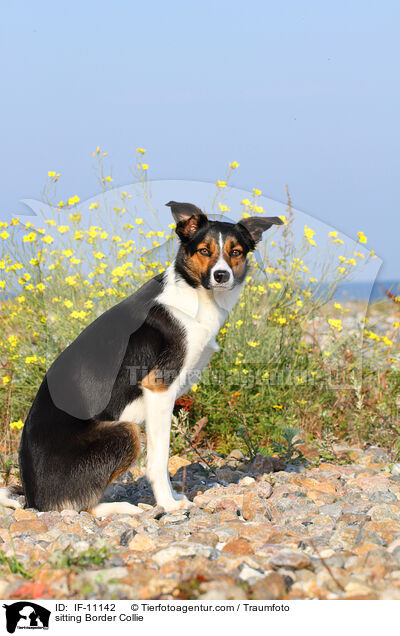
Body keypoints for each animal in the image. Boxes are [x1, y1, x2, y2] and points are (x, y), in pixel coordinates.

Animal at [0, 204, 282, 516]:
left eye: (236, 252)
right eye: (204, 251)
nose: (221, 275)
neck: (193, 295)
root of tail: (32, 500)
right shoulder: (159, 389)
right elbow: (159, 461)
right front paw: (169, 503)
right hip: (126, 432)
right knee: (81, 507)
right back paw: (125, 507)